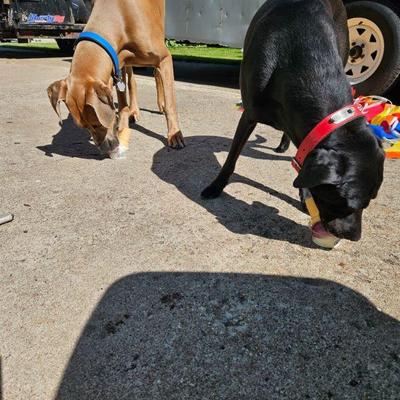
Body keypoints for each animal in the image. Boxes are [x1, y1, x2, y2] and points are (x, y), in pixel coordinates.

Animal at [47, 0, 184, 156]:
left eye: (96, 124)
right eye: (85, 127)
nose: (105, 149)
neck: (118, 15)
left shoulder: (164, 58)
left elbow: (171, 104)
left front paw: (174, 134)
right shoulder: (117, 63)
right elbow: (123, 101)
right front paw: (122, 127)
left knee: (156, 73)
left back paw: (160, 104)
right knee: (132, 80)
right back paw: (134, 110)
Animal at [203, 0, 384, 241]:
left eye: (370, 200)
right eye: (345, 202)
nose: (355, 237)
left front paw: (304, 194)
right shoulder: (248, 114)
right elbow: (231, 159)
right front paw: (216, 186)